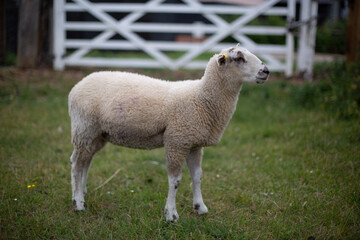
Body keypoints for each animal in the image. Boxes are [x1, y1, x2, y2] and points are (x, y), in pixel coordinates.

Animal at [69, 44, 268, 221]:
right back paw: (78, 202)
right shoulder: (176, 141)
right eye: (239, 58)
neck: (202, 98)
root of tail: (76, 87)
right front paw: (171, 214)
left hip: (97, 134)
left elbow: (197, 176)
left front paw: (200, 207)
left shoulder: (194, 144)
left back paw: (82, 192)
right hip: (84, 128)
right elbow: (175, 180)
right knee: (77, 164)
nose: (266, 71)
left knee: (85, 160)